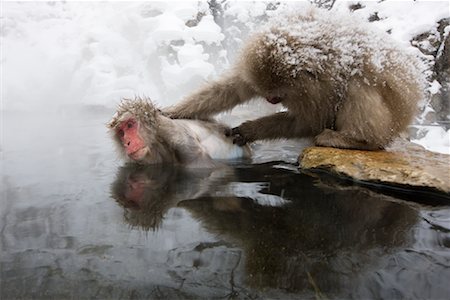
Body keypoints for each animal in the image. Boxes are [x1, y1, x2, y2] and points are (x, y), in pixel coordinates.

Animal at [107, 97, 251, 166]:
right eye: (121, 132)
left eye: (130, 125)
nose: (127, 142)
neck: (157, 142)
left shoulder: (174, 132)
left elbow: (200, 161)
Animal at [163, 7, 424, 150]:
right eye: (267, 93)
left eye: (278, 93)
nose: (270, 100)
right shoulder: (252, 66)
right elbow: (230, 90)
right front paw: (173, 111)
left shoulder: (321, 89)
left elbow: (311, 121)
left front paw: (251, 129)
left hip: (392, 121)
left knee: (358, 86)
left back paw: (357, 140)